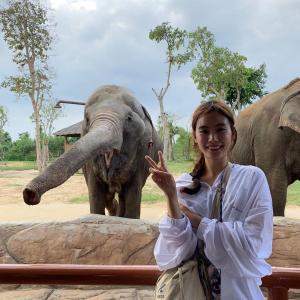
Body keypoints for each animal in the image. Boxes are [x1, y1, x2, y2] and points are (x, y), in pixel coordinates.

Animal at [22, 84, 164, 218]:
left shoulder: (143, 152)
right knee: (109, 197)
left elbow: (133, 196)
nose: (29, 193)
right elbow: (95, 195)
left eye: (129, 118)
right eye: (87, 118)